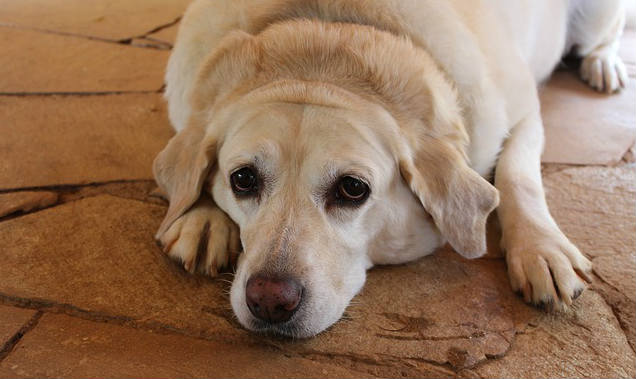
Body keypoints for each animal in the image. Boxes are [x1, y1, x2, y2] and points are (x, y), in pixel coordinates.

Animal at [153, 0, 628, 338]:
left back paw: (605, 64)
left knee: (604, 36)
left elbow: (517, 176)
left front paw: (541, 249)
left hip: (597, 16)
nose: (269, 301)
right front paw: (202, 218)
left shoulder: (526, 111)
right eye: (243, 179)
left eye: (352, 189)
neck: (327, 35)